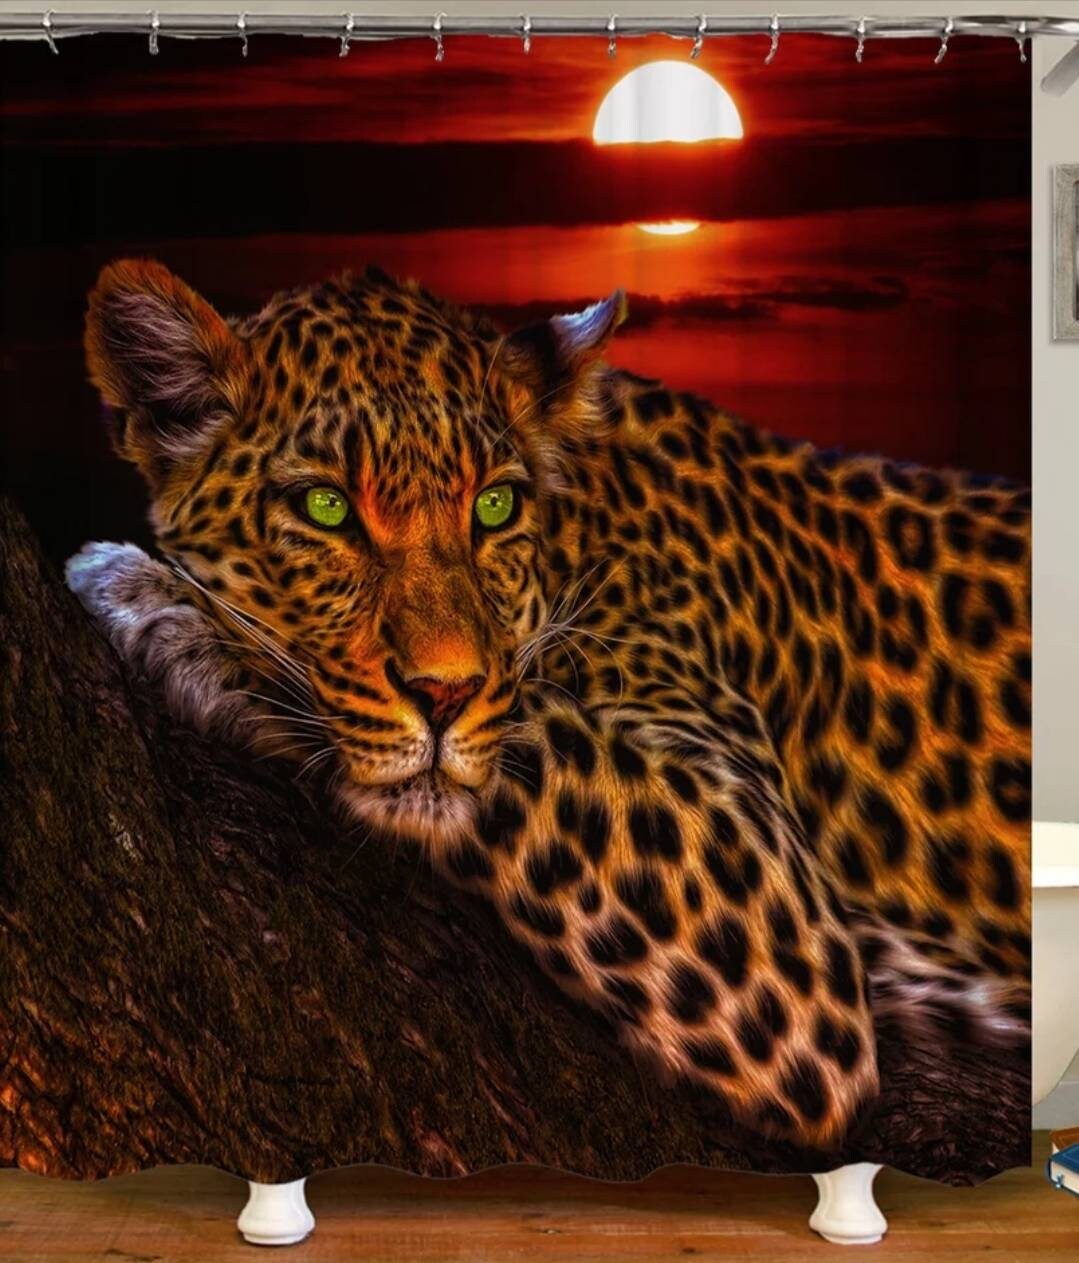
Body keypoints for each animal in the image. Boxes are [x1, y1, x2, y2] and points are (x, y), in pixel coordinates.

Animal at [67, 259, 1030, 1150]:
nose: (444, 693)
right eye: (326, 507)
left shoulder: (774, 909)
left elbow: (522, 735)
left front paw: (165, 606)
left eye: (494, 506)